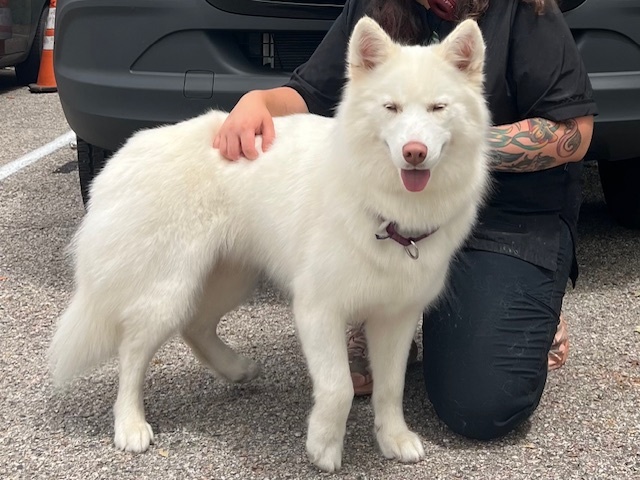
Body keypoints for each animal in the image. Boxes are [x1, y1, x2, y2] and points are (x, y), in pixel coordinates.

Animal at [50, 16, 490, 470]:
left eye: (438, 108)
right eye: (392, 108)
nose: (414, 152)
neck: (386, 210)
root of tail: (122, 156)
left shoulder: (396, 317)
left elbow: (391, 388)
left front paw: (394, 438)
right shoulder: (318, 310)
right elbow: (339, 387)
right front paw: (324, 447)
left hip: (230, 277)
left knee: (195, 326)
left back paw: (234, 369)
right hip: (166, 291)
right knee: (132, 352)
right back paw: (130, 424)